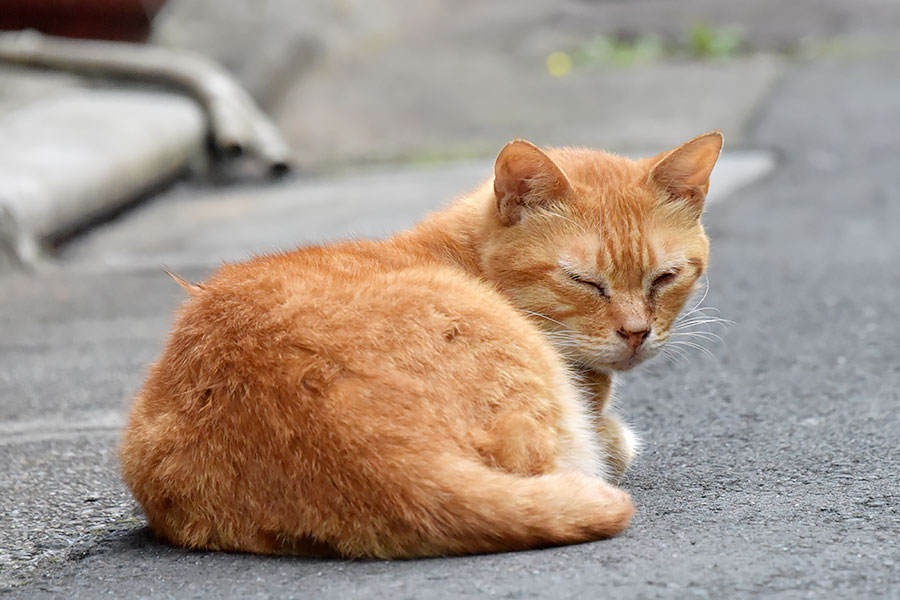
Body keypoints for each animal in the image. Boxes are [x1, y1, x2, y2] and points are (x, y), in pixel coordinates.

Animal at [121, 130, 724, 556]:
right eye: (584, 281)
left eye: (665, 278)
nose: (636, 332)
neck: (459, 256)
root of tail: (378, 461)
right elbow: (617, 445)